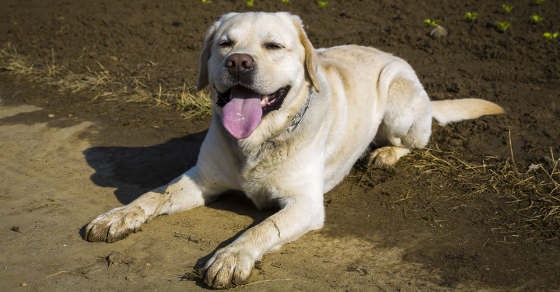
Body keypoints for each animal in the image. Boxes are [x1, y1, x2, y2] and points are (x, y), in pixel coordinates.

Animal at [83, 11, 504, 288]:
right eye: (224, 44)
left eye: (273, 45)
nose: (238, 62)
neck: (257, 140)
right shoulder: (201, 179)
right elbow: (155, 194)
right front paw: (118, 216)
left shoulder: (305, 204)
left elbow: (262, 228)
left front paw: (231, 257)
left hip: (399, 103)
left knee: (417, 140)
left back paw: (384, 155)